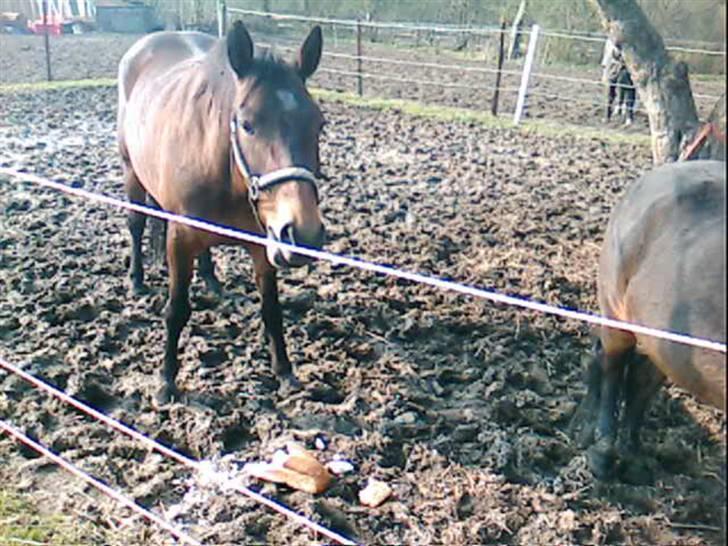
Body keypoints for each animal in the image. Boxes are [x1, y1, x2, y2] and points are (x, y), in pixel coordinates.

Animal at [117, 21, 328, 402]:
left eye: (318, 124)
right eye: (247, 124)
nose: (302, 233)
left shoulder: (263, 244)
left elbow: (271, 309)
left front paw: (284, 372)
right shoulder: (178, 239)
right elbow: (177, 309)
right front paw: (165, 380)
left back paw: (212, 281)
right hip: (131, 174)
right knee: (136, 225)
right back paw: (136, 280)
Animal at [572, 159, 724, 478]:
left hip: (665, 341)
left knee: (641, 379)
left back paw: (633, 456)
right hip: (616, 314)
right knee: (612, 369)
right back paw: (602, 451)